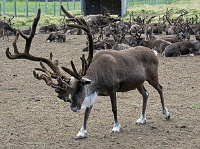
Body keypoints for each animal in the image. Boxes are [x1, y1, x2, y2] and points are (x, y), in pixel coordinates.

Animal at [5, 7, 170, 140]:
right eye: (70, 91)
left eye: (80, 87)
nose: (73, 108)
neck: (98, 78)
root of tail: (153, 52)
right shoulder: (93, 93)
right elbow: (87, 111)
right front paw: (81, 132)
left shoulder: (112, 89)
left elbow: (114, 108)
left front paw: (116, 126)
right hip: (138, 82)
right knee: (146, 94)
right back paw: (142, 119)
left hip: (152, 76)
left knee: (160, 88)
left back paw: (166, 113)